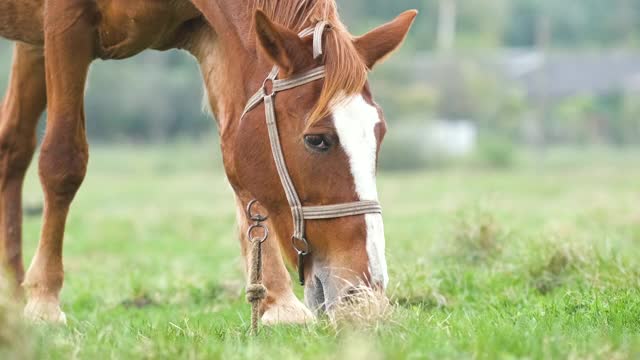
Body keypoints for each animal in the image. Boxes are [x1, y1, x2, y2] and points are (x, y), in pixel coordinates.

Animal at [0, 0, 418, 324]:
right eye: (317, 140)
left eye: (379, 134)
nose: (363, 293)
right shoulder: (64, 22)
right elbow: (62, 160)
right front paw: (44, 299)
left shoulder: (212, 37)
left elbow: (241, 174)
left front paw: (277, 304)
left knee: (12, 147)